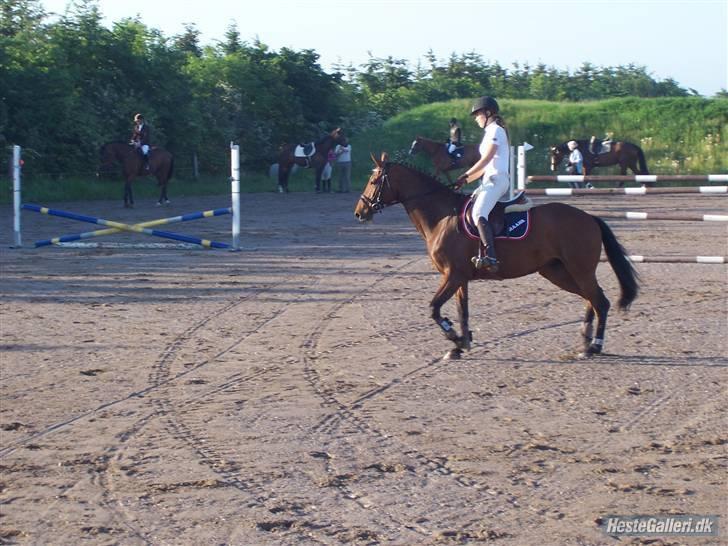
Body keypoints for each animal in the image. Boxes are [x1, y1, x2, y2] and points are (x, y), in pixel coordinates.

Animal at [356, 151, 640, 360]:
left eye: (373, 182)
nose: (360, 212)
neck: (441, 216)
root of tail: (590, 218)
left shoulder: (452, 275)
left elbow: (434, 309)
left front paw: (454, 338)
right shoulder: (459, 278)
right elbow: (462, 310)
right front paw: (461, 344)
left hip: (579, 269)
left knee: (600, 301)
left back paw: (594, 345)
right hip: (557, 271)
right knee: (591, 299)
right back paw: (584, 340)